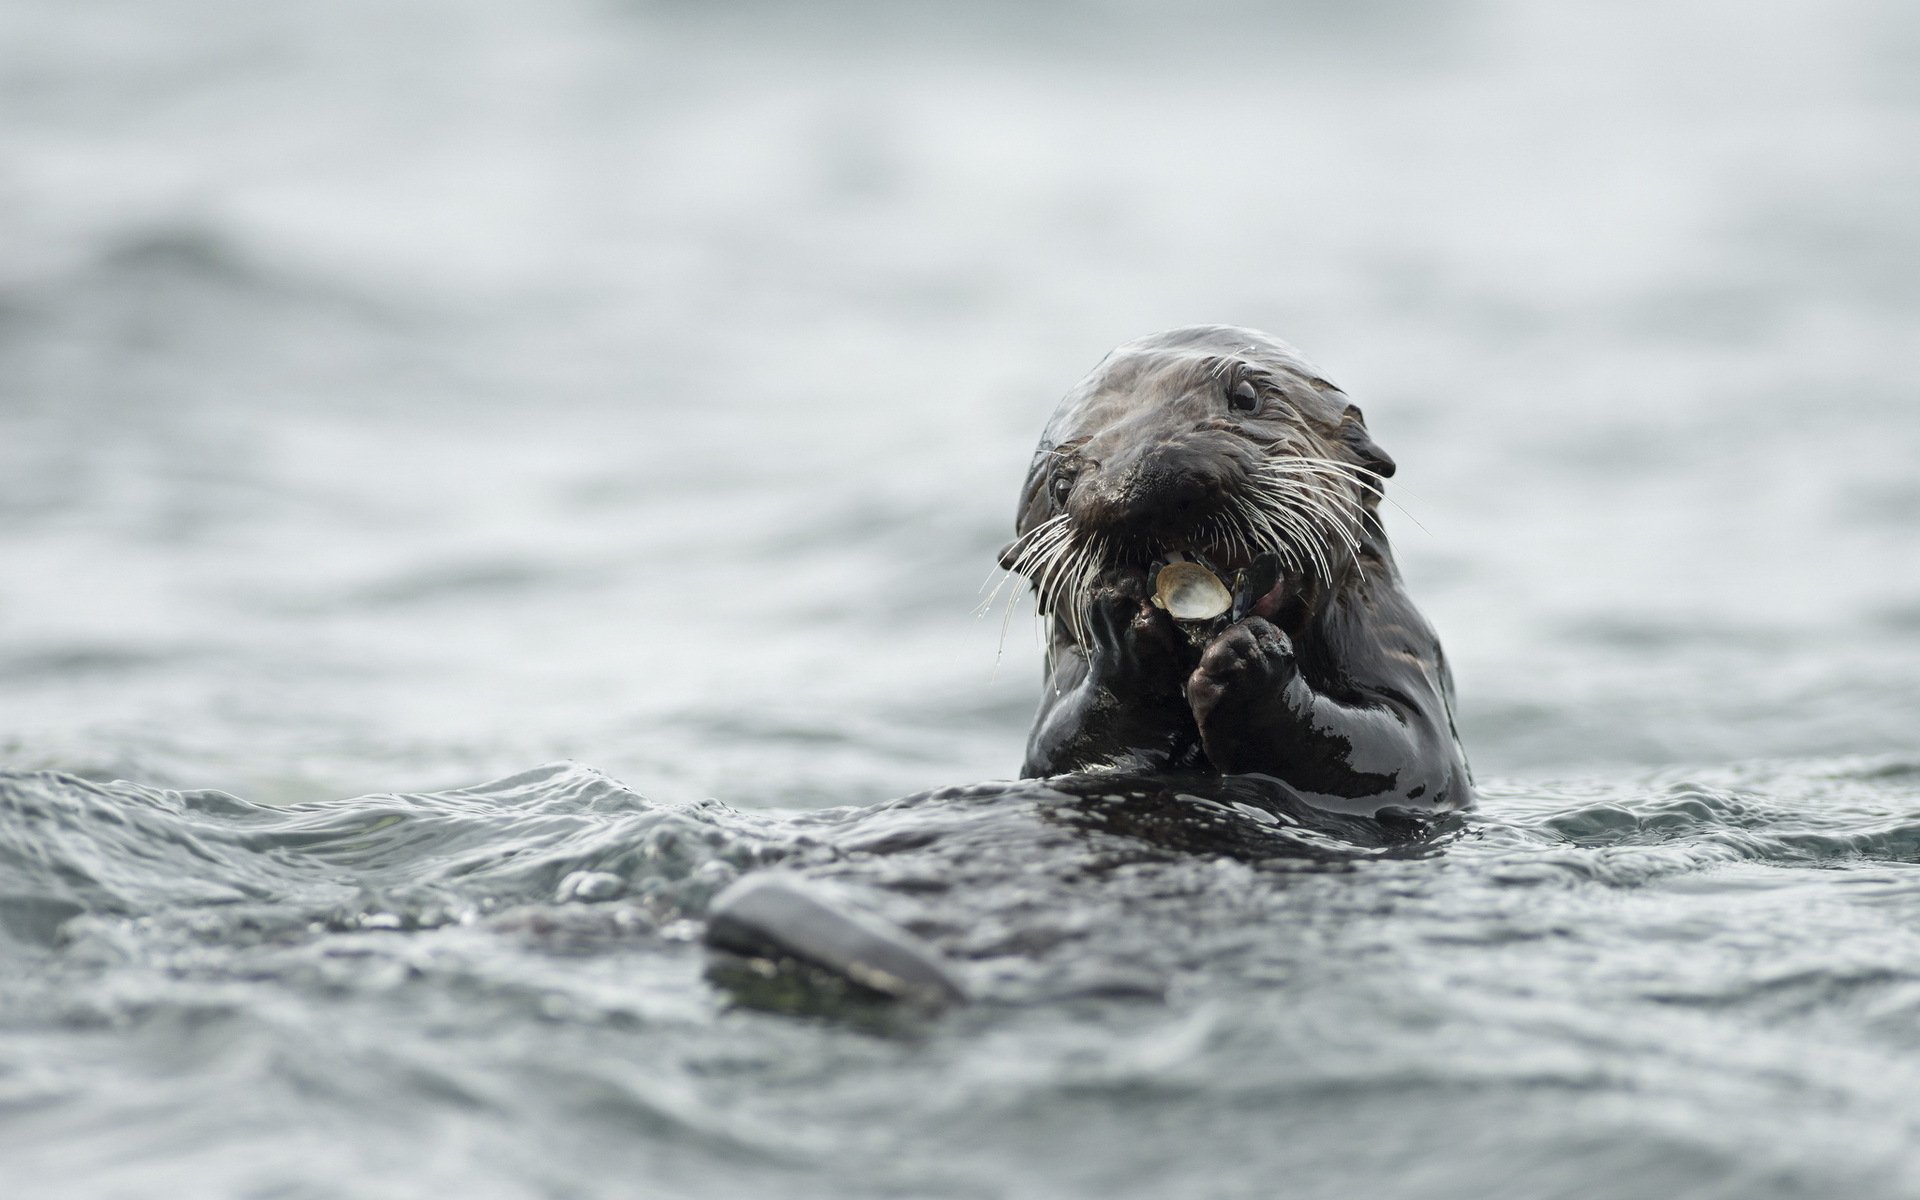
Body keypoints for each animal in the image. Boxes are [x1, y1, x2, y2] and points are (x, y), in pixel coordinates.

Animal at [1001, 325, 1471, 814]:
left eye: (1245, 396)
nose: (1143, 481)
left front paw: (1250, 657)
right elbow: (1059, 746)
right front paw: (1124, 635)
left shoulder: (1396, 642)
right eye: (1060, 485)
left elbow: (1409, 751)